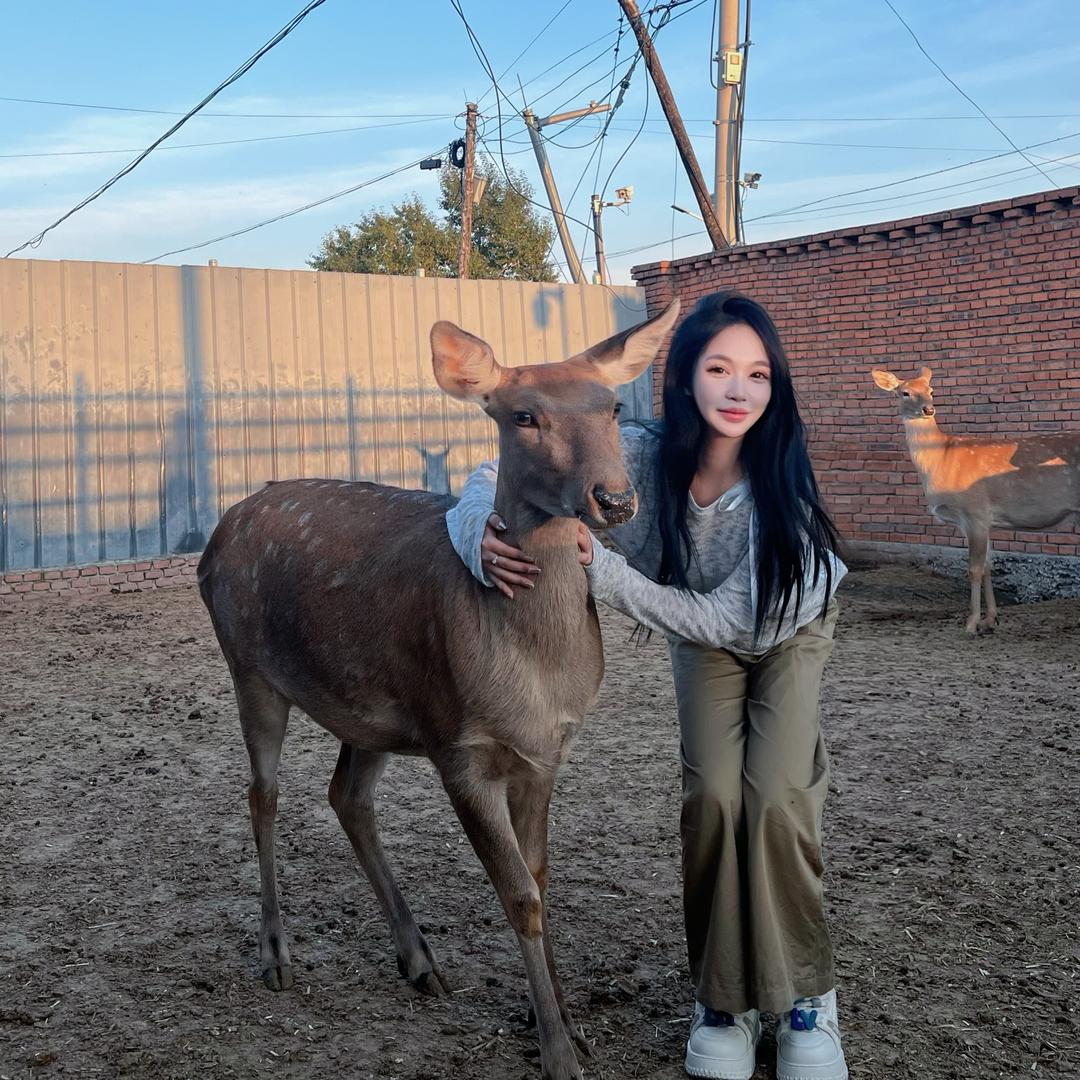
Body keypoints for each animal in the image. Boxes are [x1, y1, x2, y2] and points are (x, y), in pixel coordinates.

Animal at [197, 300, 681, 1080]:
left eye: (612, 407)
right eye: (523, 415)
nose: (614, 498)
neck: (534, 675)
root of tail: (213, 540)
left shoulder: (545, 753)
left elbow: (540, 878)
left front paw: (565, 1024)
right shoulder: (461, 747)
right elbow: (518, 895)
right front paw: (557, 1051)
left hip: (372, 705)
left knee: (347, 796)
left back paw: (418, 959)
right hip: (249, 664)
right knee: (262, 795)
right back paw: (277, 954)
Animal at [872, 366, 1080, 634]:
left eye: (931, 390)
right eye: (905, 392)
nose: (928, 409)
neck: (940, 461)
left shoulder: (975, 511)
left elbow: (974, 569)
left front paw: (971, 622)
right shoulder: (980, 520)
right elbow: (989, 566)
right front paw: (991, 619)